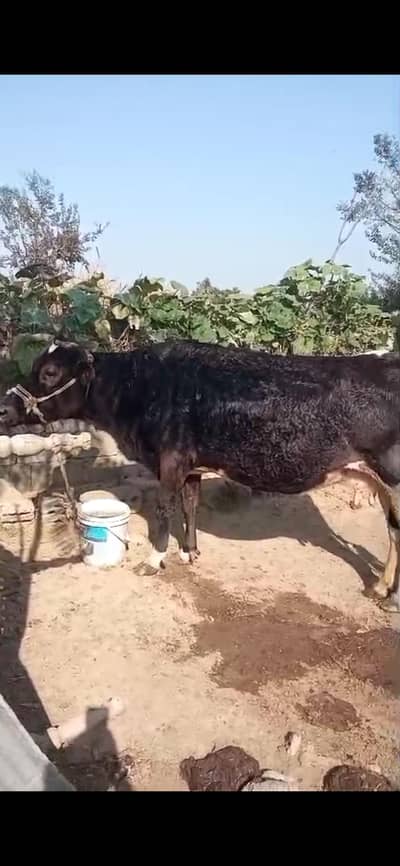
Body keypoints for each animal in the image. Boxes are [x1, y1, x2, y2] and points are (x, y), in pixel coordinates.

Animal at [1, 338, 400, 612]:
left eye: (50, 373)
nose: (5, 407)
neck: (141, 387)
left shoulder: (170, 461)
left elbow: (164, 510)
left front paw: (154, 560)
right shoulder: (190, 465)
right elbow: (190, 505)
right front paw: (190, 551)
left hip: (391, 476)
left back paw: (388, 596)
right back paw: (380, 588)